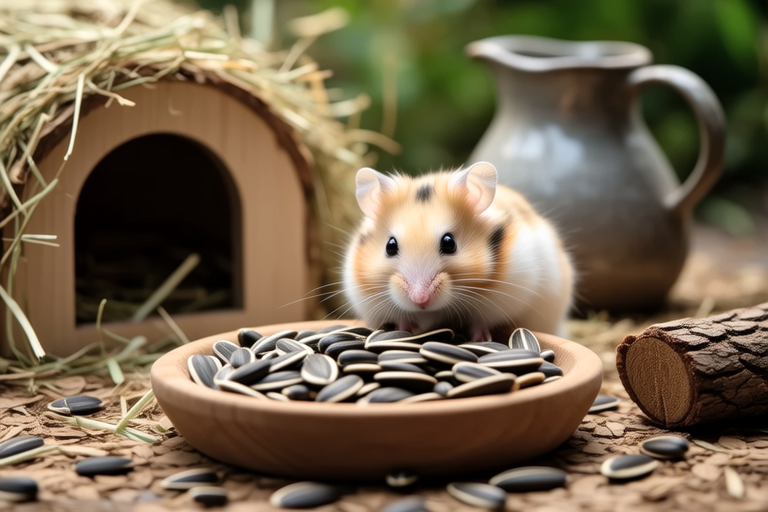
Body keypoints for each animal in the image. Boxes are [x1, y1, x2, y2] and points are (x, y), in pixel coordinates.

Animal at [342, 161, 574, 341]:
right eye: (390, 246)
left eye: (449, 243)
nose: (420, 301)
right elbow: (402, 317)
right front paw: (403, 329)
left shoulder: (501, 300)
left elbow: (481, 321)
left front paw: (481, 339)